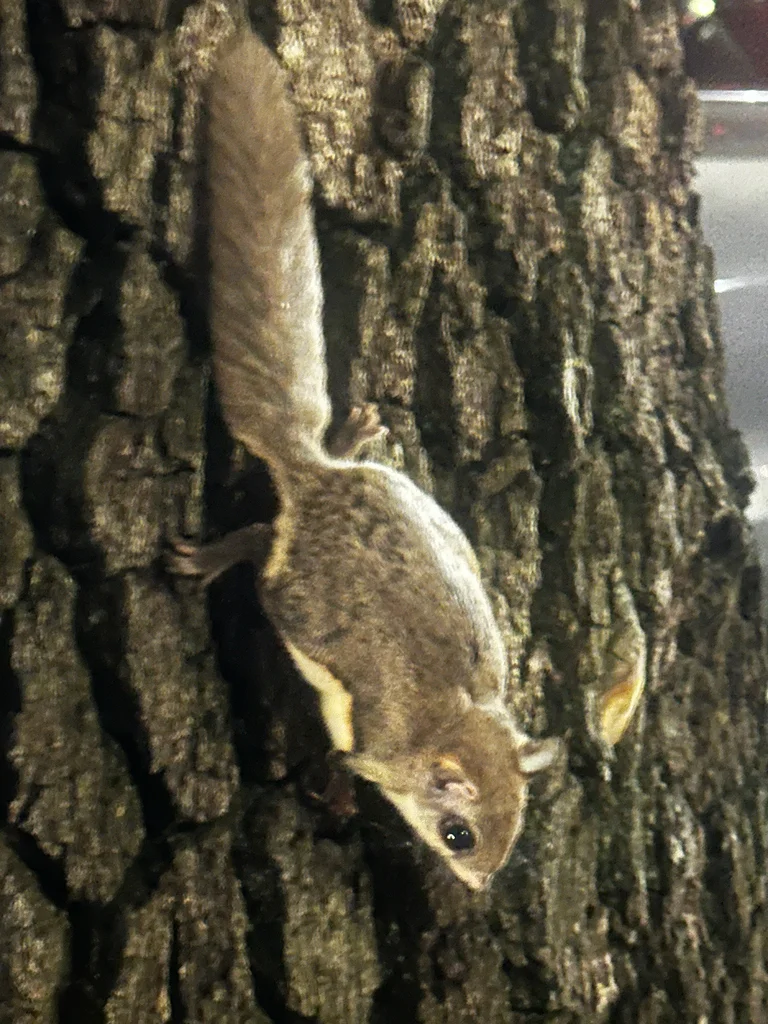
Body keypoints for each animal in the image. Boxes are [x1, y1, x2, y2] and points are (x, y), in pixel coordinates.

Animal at [169, 30, 561, 891]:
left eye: (518, 828)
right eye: (456, 834)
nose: (481, 891)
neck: (454, 719)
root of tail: (316, 476)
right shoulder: (372, 743)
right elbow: (345, 765)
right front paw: (337, 798)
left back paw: (351, 435)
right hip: (294, 590)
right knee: (260, 543)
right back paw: (207, 559)